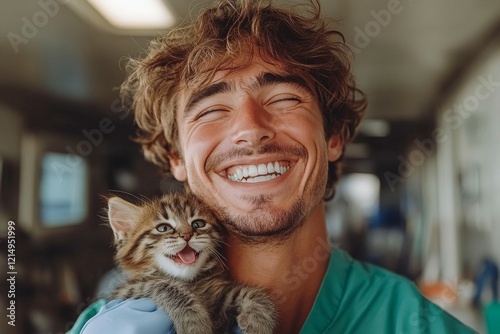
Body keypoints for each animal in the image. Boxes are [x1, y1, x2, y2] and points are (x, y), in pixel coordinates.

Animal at [107, 192, 276, 332]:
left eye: (198, 224)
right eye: (163, 228)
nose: (187, 235)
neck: (191, 281)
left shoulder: (221, 297)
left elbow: (251, 293)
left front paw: (259, 323)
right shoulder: (126, 291)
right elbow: (165, 286)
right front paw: (195, 324)